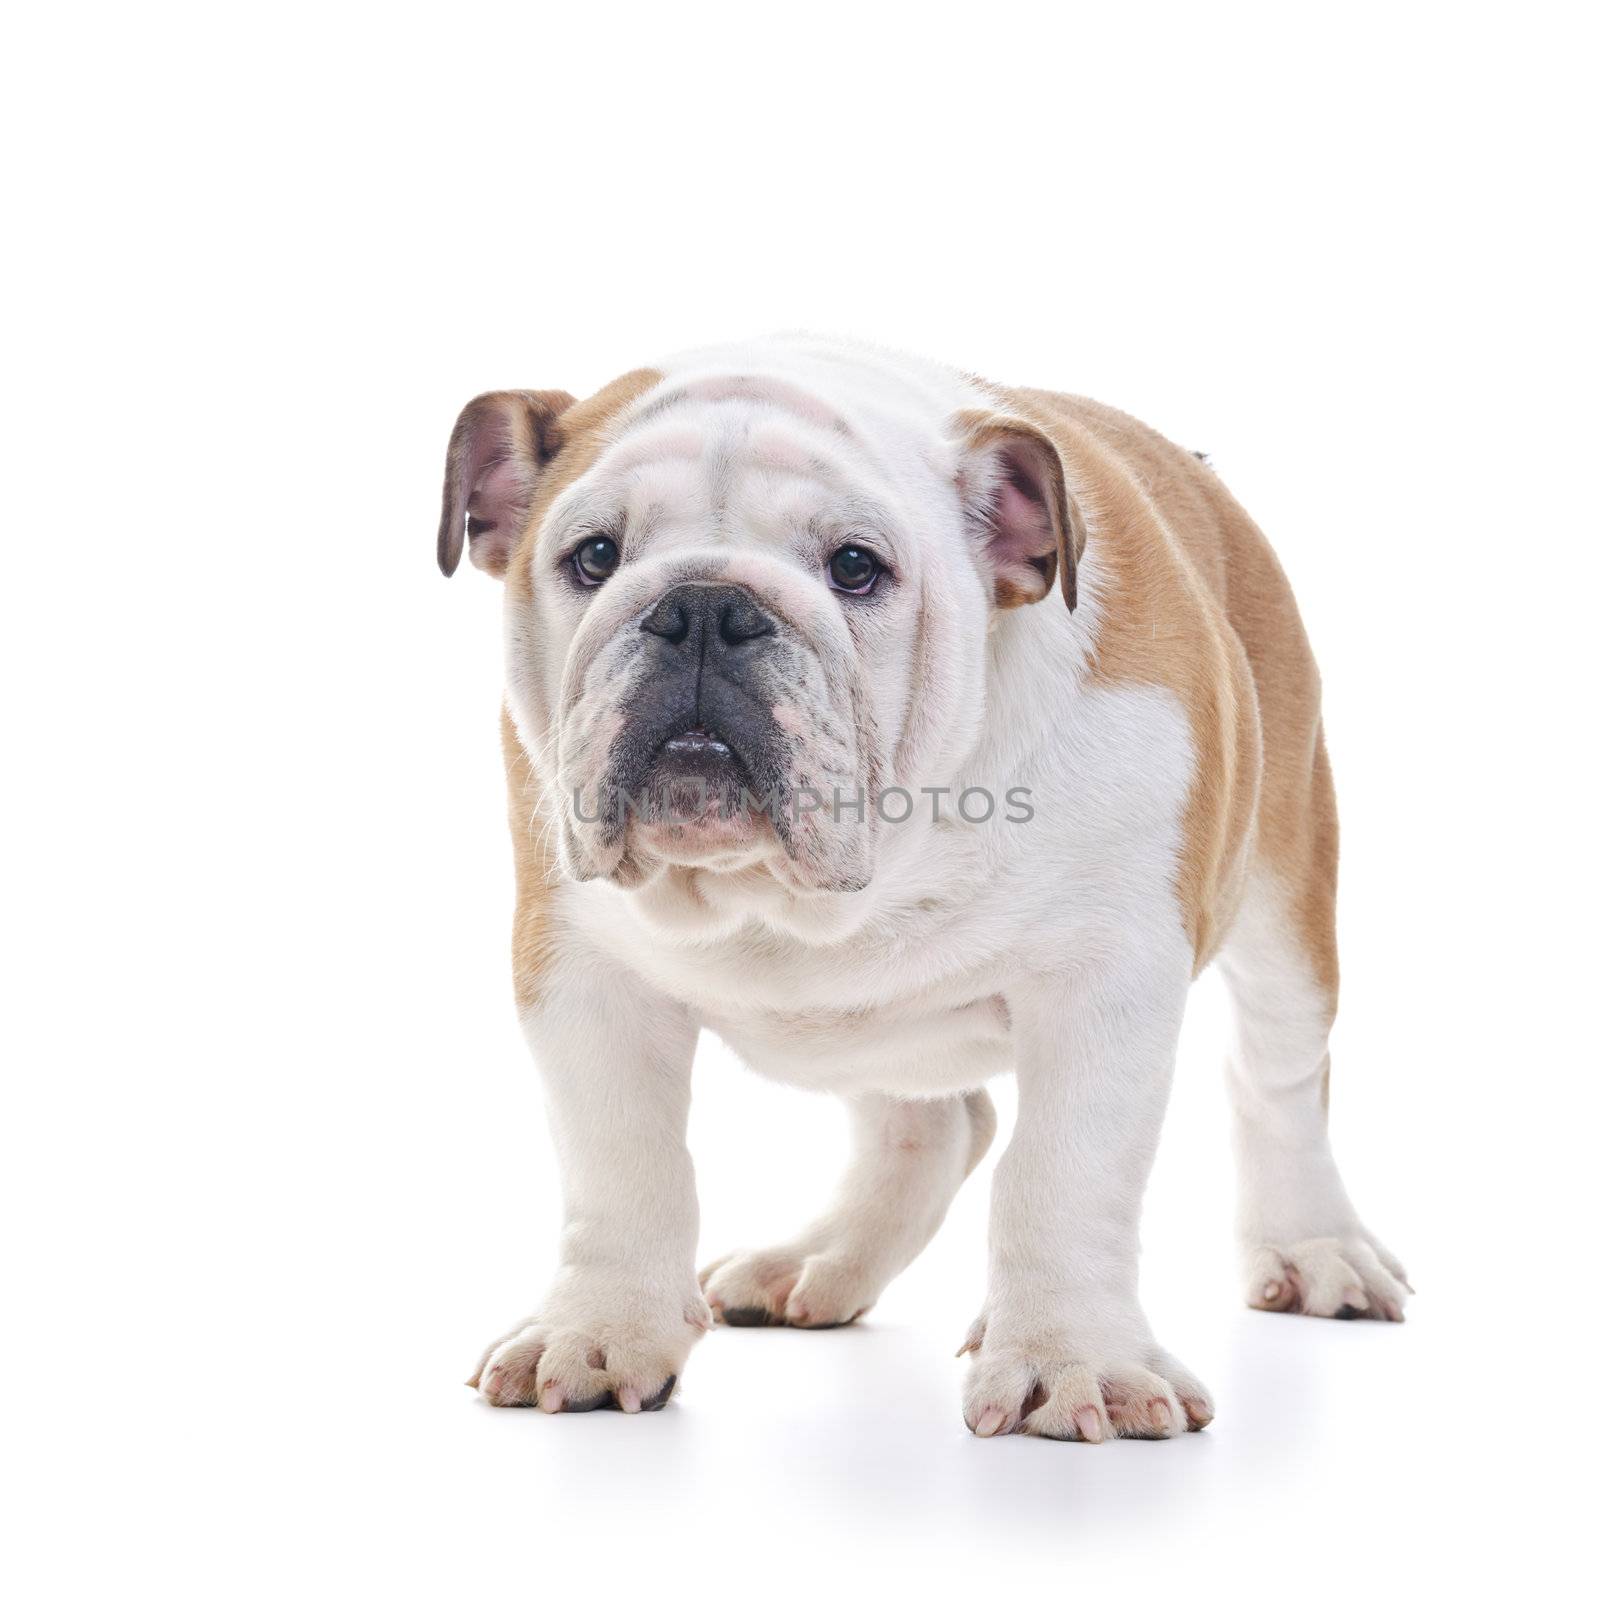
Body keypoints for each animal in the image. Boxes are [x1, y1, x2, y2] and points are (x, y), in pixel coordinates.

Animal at [438, 334, 1401, 1440]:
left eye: (856, 568)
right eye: (593, 557)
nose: (704, 608)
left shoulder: (1107, 979)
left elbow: (1064, 1172)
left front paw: (1072, 1359)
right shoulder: (582, 974)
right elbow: (622, 1163)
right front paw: (599, 1330)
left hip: (1287, 881)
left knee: (1278, 1076)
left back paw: (1316, 1248)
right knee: (934, 1122)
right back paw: (818, 1260)